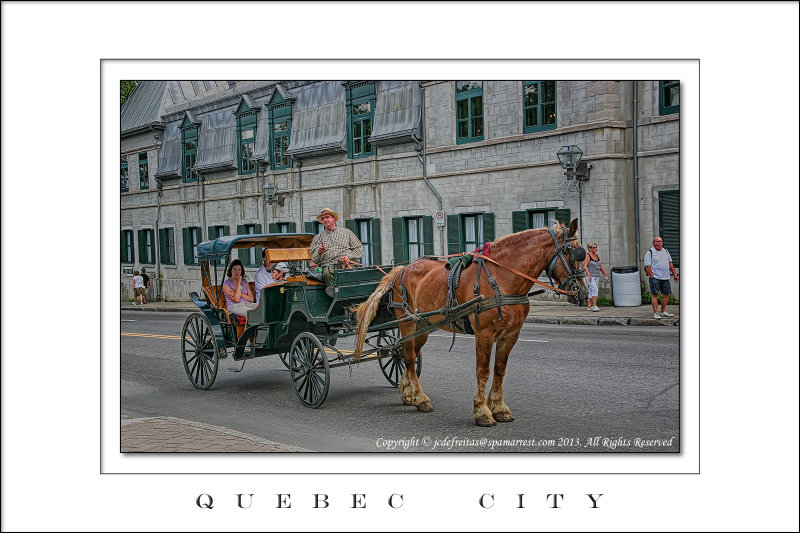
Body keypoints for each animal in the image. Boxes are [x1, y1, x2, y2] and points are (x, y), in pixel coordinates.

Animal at [356, 218, 588, 426]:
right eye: (573, 252)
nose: (584, 293)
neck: (501, 278)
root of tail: (401, 269)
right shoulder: (484, 334)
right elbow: (483, 371)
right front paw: (482, 411)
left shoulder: (510, 335)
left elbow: (500, 370)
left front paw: (499, 408)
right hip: (407, 322)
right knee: (410, 358)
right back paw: (421, 398)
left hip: (423, 326)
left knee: (405, 353)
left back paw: (407, 393)